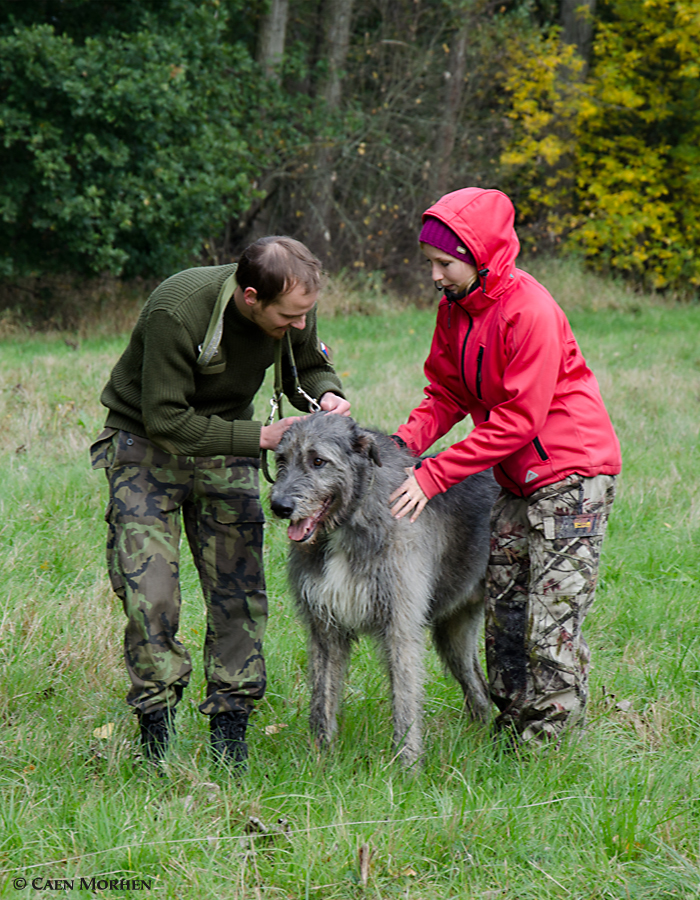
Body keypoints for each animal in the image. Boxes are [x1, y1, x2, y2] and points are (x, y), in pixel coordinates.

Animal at [270, 414, 500, 768]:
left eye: (318, 460)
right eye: (281, 460)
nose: (279, 506)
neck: (350, 519)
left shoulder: (400, 625)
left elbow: (405, 699)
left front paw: (407, 767)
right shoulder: (324, 627)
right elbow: (322, 698)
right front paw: (321, 760)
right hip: (454, 631)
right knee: (476, 683)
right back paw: (478, 739)